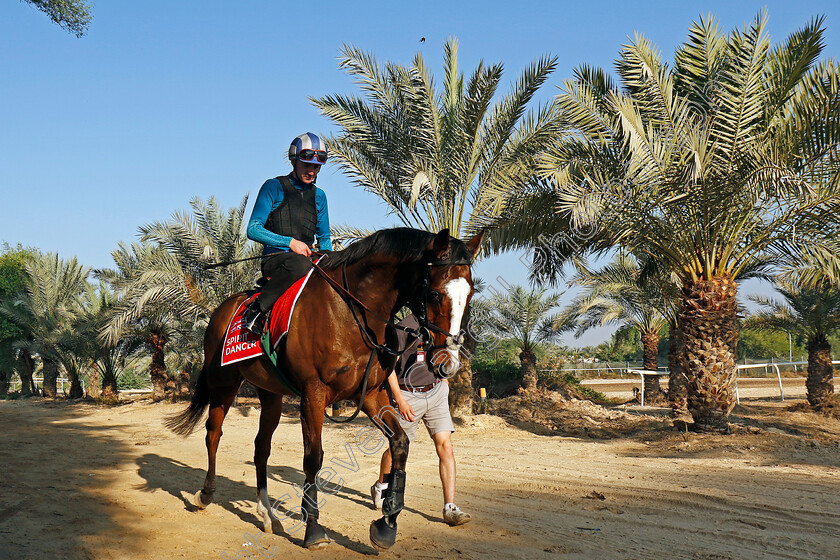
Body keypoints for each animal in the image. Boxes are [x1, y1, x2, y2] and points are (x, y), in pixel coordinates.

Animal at [166, 229, 480, 552]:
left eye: (470, 295)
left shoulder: (371, 395)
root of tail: (224, 307)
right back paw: (205, 494)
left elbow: (400, 445)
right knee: (213, 433)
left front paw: (387, 524)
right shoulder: (313, 396)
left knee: (261, 447)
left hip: (271, 395)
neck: (351, 314)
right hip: (224, 384)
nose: (447, 364)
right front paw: (313, 528)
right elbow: (313, 458)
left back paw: (267, 514)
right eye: (435, 294)